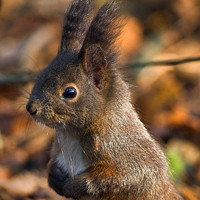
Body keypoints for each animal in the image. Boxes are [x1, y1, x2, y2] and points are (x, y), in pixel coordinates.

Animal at [26, 0, 184, 200]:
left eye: (70, 92)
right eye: (40, 76)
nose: (31, 108)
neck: (70, 135)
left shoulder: (121, 147)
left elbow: (133, 176)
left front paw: (76, 185)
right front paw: (53, 176)